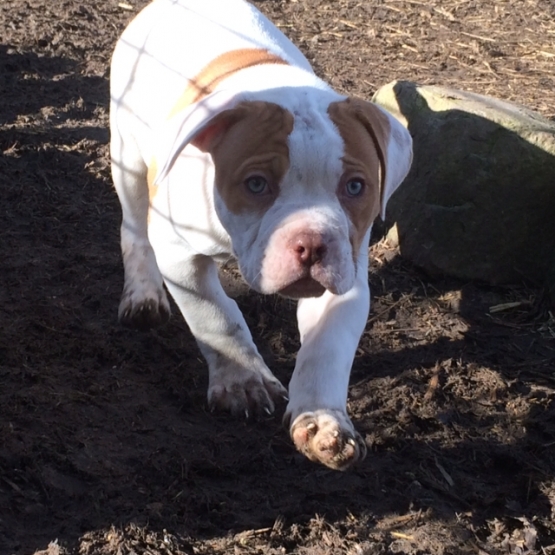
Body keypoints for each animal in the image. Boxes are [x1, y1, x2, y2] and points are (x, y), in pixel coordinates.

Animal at [109, 0, 412, 472]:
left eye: (355, 187)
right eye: (255, 184)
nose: (312, 243)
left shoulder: (347, 274)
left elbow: (327, 348)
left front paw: (323, 422)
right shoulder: (178, 254)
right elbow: (216, 316)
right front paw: (243, 381)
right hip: (128, 154)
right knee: (135, 227)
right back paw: (143, 294)